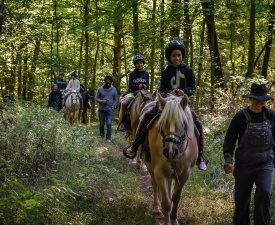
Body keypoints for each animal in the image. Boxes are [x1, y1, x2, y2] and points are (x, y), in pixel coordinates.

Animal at [138, 93, 198, 225]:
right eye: (162, 123)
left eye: (183, 123)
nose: (170, 152)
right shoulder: (160, 173)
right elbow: (166, 203)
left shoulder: (185, 174)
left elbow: (175, 199)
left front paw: (174, 220)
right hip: (152, 169)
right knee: (154, 185)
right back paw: (156, 209)